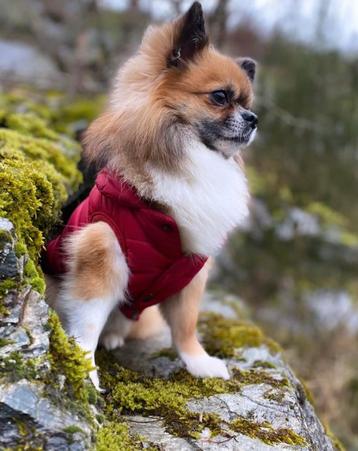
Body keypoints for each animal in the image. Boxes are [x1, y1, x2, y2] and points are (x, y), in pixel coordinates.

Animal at [43, 0, 258, 392]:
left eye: (248, 102)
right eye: (220, 97)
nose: (253, 118)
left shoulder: (190, 269)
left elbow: (185, 326)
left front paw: (199, 363)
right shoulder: (102, 248)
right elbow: (87, 322)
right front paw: (84, 369)